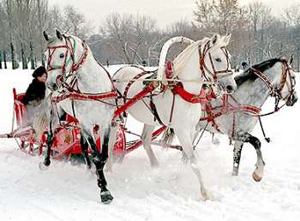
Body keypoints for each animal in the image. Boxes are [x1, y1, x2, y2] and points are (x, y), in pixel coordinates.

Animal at [41, 30, 116, 205]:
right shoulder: (87, 124)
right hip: (56, 116)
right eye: (45, 55)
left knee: (82, 145)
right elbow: (96, 156)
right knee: (50, 137)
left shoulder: (105, 124)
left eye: (62, 54)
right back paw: (46, 162)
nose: (51, 83)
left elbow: (102, 155)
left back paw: (89, 170)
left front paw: (99, 179)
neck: (93, 89)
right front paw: (104, 190)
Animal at [112, 34, 237, 200]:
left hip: (150, 119)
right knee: (112, 137)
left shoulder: (191, 128)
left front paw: (178, 176)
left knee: (145, 140)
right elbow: (194, 160)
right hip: (115, 114)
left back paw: (156, 168)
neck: (184, 90)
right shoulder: (181, 130)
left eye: (229, 57)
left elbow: (186, 157)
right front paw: (204, 192)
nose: (231, 86)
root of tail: (119, 72)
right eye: (217, 59)